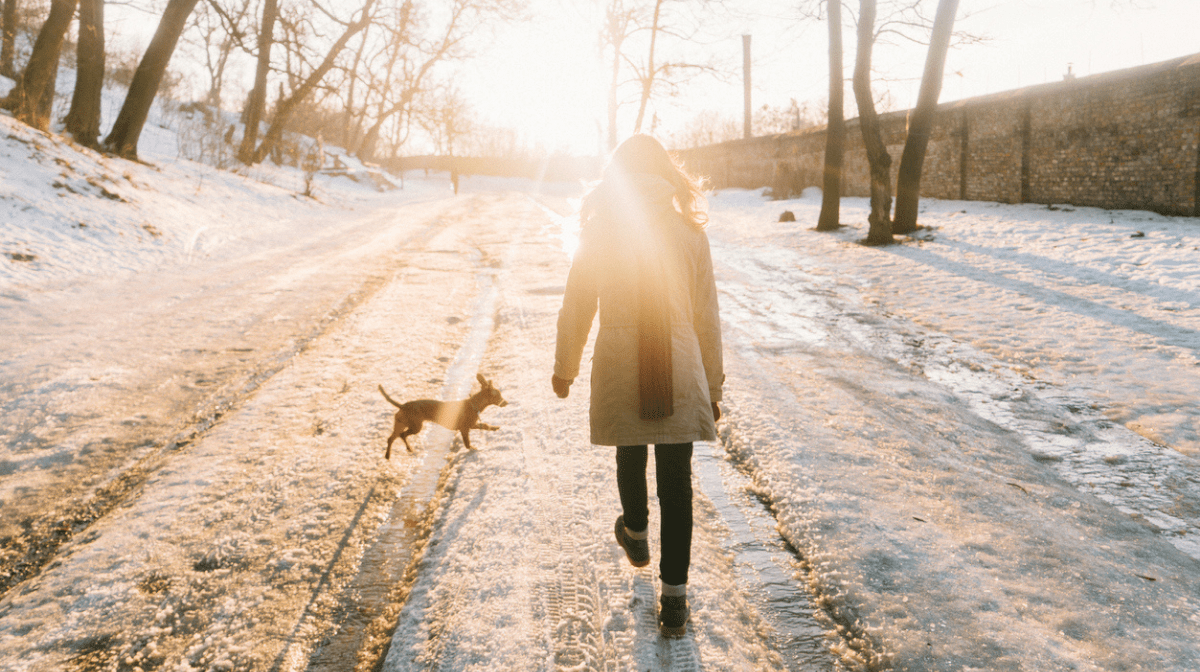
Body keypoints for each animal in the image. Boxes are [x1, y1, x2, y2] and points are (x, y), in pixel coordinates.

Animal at [376, 374, 504, 458]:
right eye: (498, 396)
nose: (506, 402)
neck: (473, 404)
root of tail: (402, 405)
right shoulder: (464, 429)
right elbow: (467, 443)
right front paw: (473, 450)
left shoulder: (472, 425)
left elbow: (486, 425)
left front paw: (495, 428)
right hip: (415, 427)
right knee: (401, 436)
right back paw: (398, 452)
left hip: (401, 424)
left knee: (393, 438)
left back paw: (393, 453)